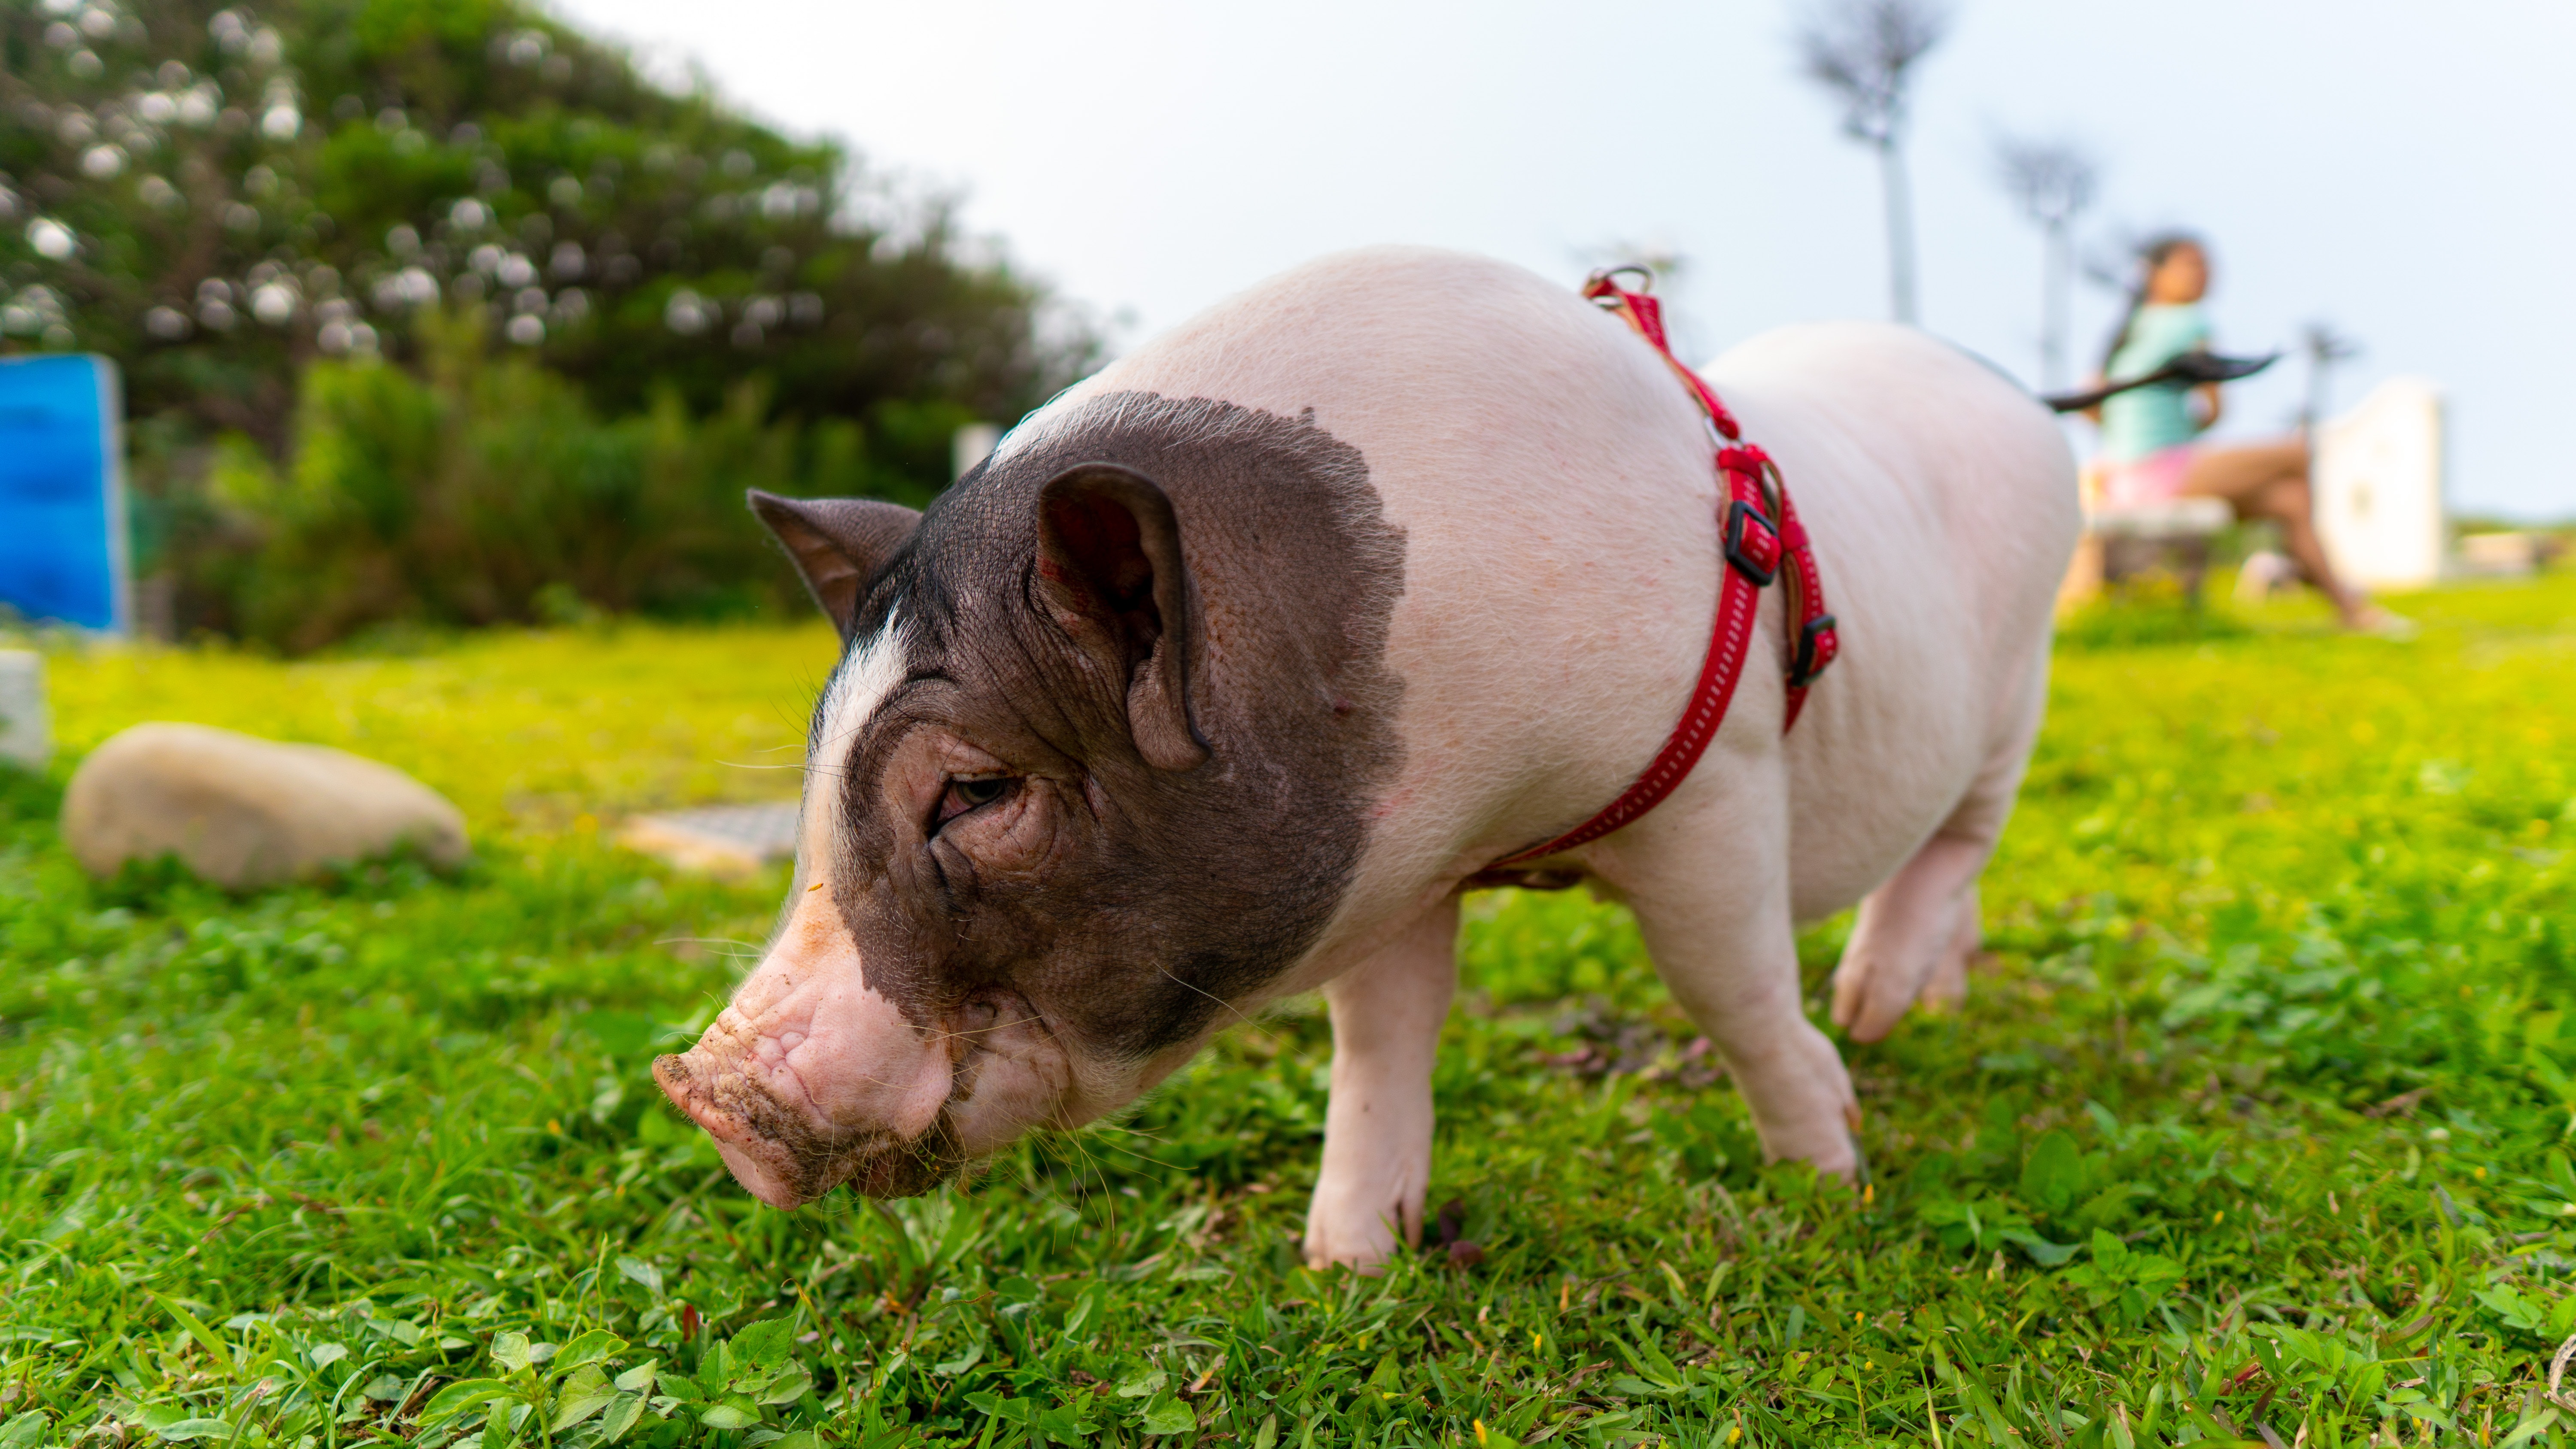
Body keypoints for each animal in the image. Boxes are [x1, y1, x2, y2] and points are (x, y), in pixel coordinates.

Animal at [654, 247, 2081, 1271]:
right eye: (816, 762)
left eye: (975, 792)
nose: (703, 1093)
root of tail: (2024, 398)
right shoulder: (1394, 853)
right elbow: (1382, 1038)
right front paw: (1347, 1263)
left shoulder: (1714, 786)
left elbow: (1727, 988)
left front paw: (1829, 1170)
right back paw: (1923, 1009)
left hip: (2021, 683)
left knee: (1963, 837)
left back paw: (1872, 1010)